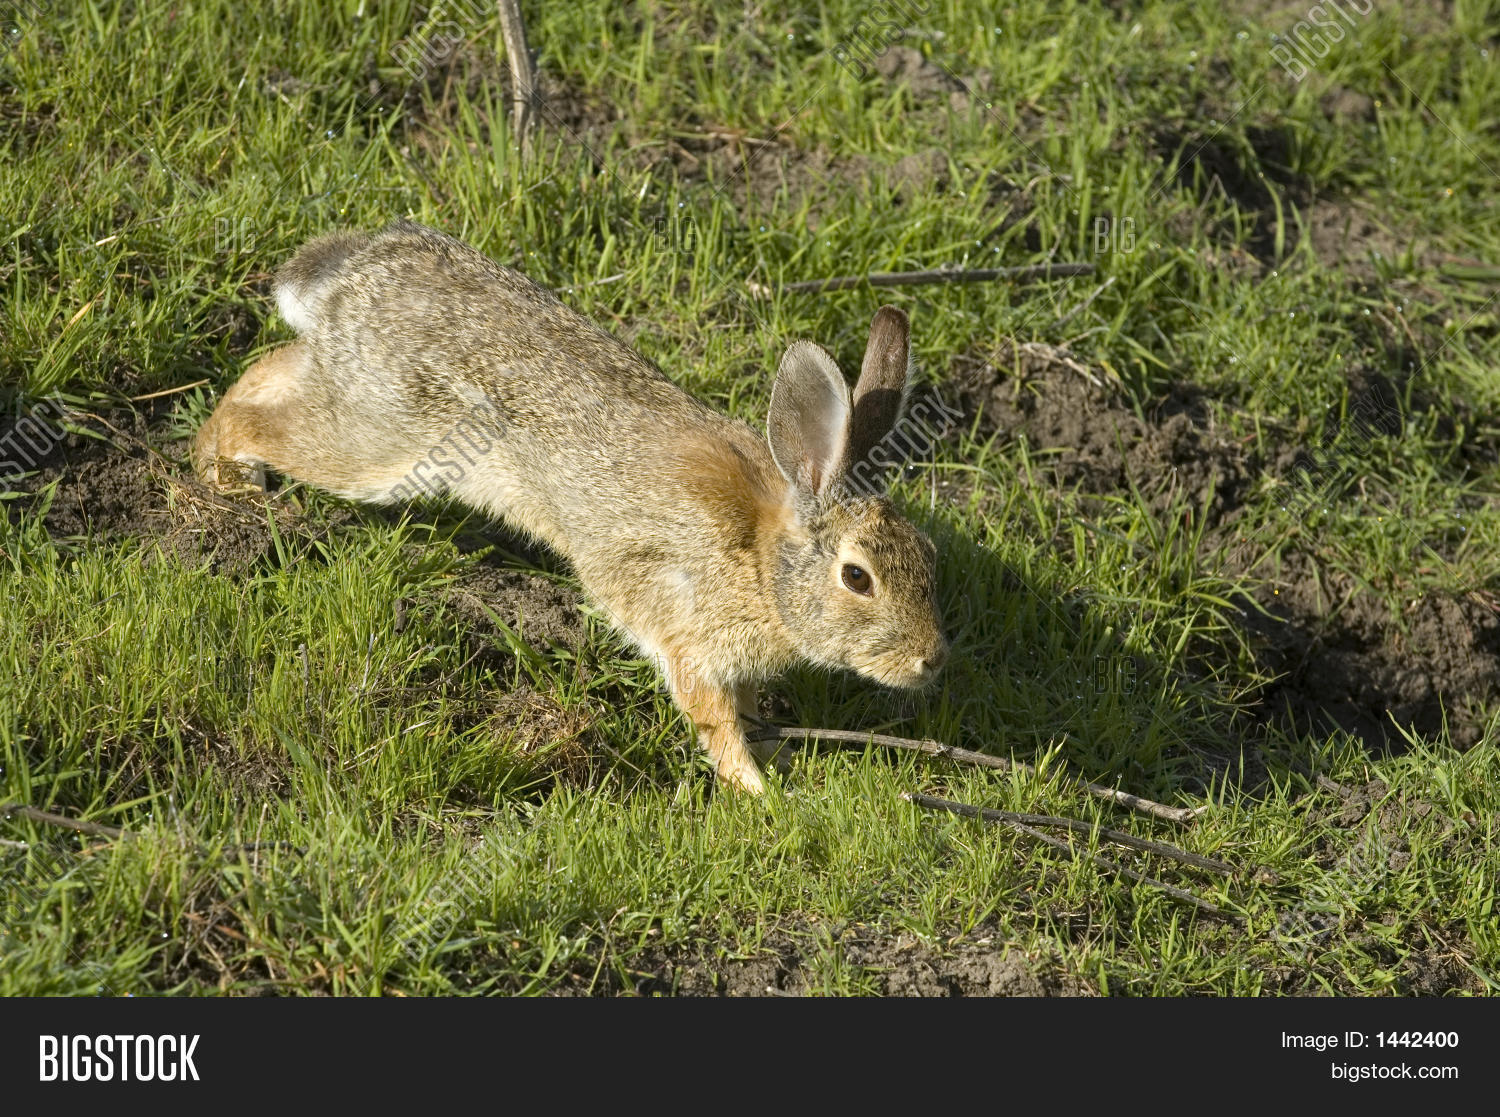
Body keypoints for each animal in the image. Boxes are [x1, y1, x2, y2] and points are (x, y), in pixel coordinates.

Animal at [193, 220, 948, 794]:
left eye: (927, 556)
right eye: (857, 577)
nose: (932, 662)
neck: (762, 562)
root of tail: (345, 278)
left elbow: (748, 709)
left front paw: (778, 757)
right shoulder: (686, 640)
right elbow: (714, 720)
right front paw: (759, 793)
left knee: (274, 368)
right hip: (386, 447)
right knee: (257, 420)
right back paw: (225, 480)